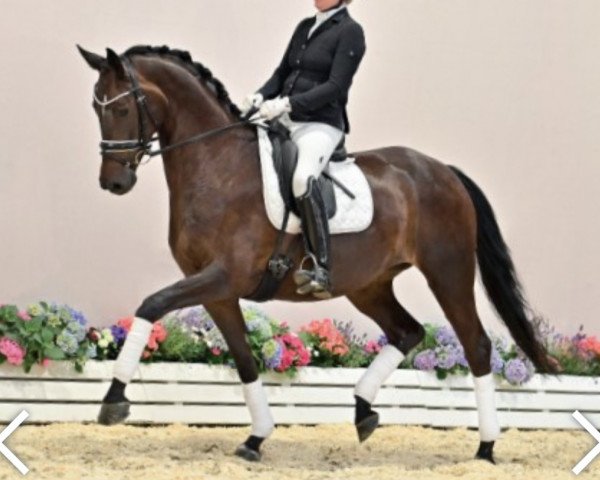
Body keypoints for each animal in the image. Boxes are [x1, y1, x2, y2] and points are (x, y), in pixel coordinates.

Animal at [77, 46, 556, 464]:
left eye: (121, 109)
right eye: (96, 109)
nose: (113, 182)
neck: (218, 166)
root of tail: (444, 172)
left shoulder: (224, 276)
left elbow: (151, 304)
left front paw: (114, 399)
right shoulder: (216, 290)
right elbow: (244, 359)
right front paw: (256, 438)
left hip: (447, 271)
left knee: (475, 345)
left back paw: (486, 448)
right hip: (368, 284)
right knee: (407, 332)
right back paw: (363, 412)